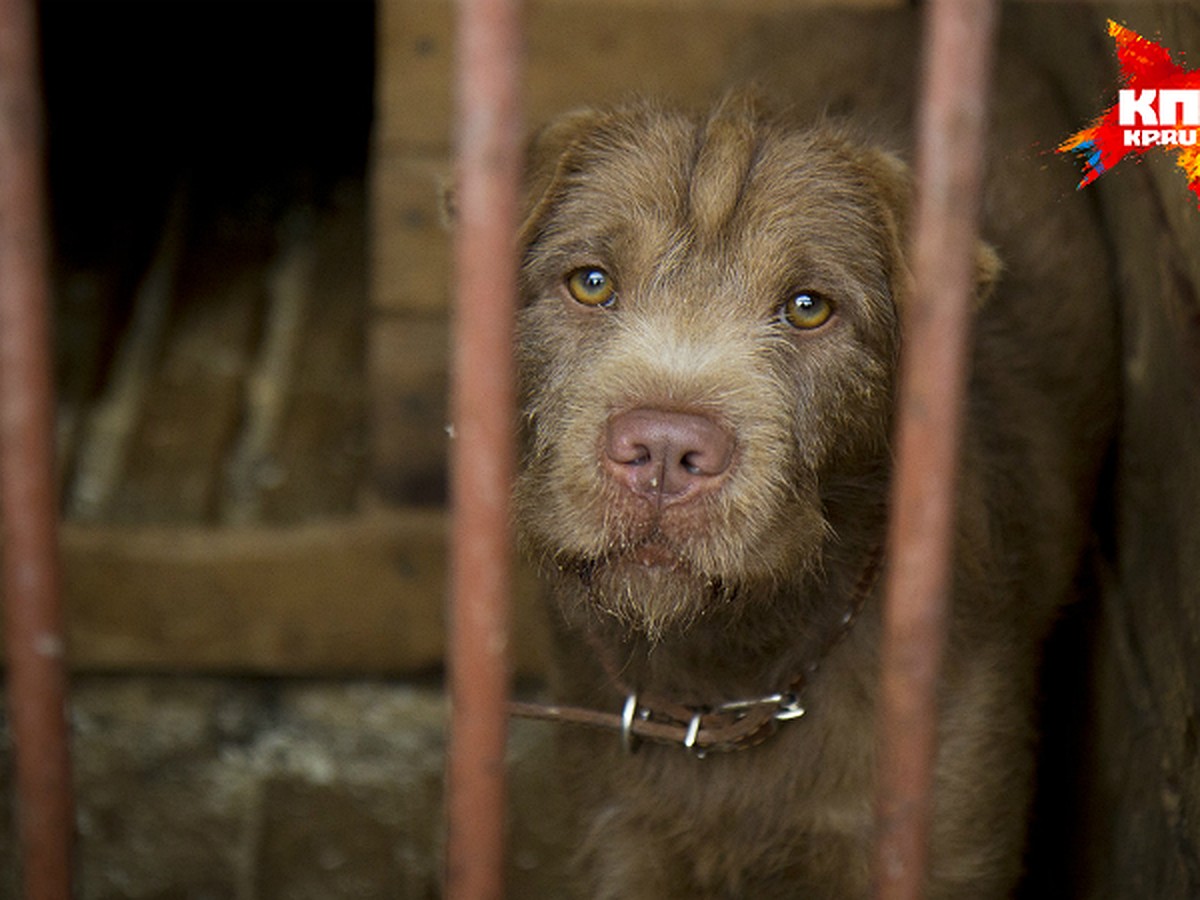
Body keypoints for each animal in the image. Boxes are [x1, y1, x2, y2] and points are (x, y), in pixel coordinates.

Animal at [511, 95, 1118, 897]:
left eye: (807, 307)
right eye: (590, 281)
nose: (665, 450)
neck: (731, 675)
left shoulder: (946, 842)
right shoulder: (619, 838)